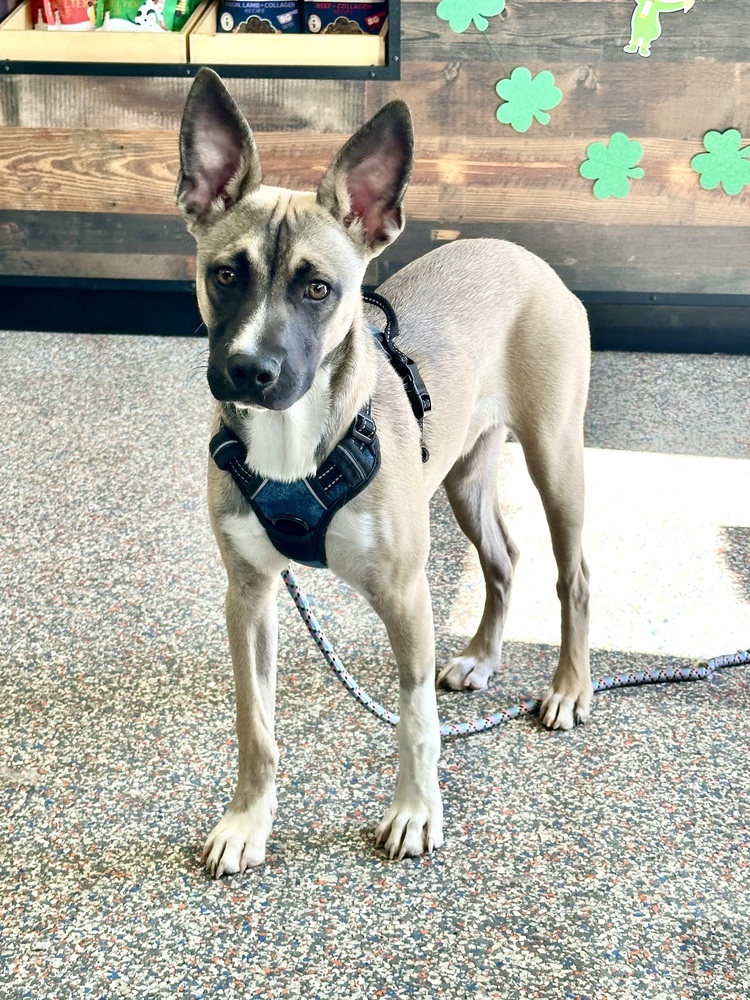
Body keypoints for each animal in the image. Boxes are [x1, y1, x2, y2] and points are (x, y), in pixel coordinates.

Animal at [176, 68, 592, 876]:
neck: (294, 441)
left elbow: (413, 718)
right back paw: (481, 658)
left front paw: (416, 813)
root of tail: (523, 255)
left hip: (556, 457)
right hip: (463, 476)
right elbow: (255, 726)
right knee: (502, 558)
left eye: (317, 289)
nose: (250, 372)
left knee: (573, 575)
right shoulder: (249, 594)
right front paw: (247, 822)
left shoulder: (405, 594)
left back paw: (568, 689)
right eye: (226, 274)